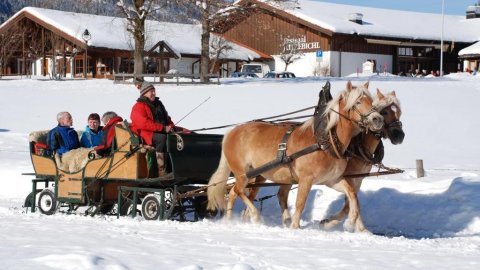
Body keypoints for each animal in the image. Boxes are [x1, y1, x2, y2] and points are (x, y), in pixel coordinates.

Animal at [208, 81, 384, 229]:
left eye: (371, 101)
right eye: (358, 102)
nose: (378, 119)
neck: (324, 140)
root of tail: (231, 132)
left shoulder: (331, 179)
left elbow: (352, 194)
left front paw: (350, 220)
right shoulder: (306, 179)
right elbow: (300, 203)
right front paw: (295, 227)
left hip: (259, 174)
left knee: (233, 193)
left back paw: (229, 220)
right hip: (243, 173)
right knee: (238, 190)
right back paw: (255, 215)